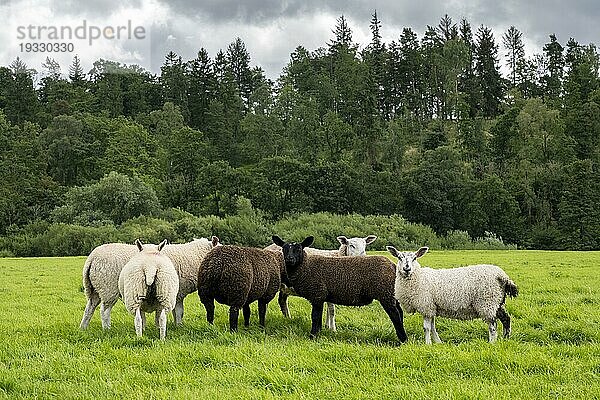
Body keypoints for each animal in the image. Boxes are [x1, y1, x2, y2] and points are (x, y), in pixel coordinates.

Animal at [78, 236, 220, 330]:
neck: (193, 258)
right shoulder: (176, 292)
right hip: (108, 289)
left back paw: (83, 328)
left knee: (89, 309)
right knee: (104, 311)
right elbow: (179, 312)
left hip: (94, 289)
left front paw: (176, 326)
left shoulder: (175, 293)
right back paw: (107, 329)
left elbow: (174, 312)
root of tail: (91, 258)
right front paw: (179, 326)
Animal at [386, 247, 516, 344]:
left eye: (414, 258)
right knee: (506, 319)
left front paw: (427, 344)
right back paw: (505, 338)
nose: (406, 268)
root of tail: (502, 275)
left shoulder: (426, 306)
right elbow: (433, 327)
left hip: (487, 302)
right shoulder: (432, 307)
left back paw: (492, 342)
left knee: (493, 325)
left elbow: (427, 328)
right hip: (497, 302)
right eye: (399, 257)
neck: (419, 277)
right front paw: (438, 342)